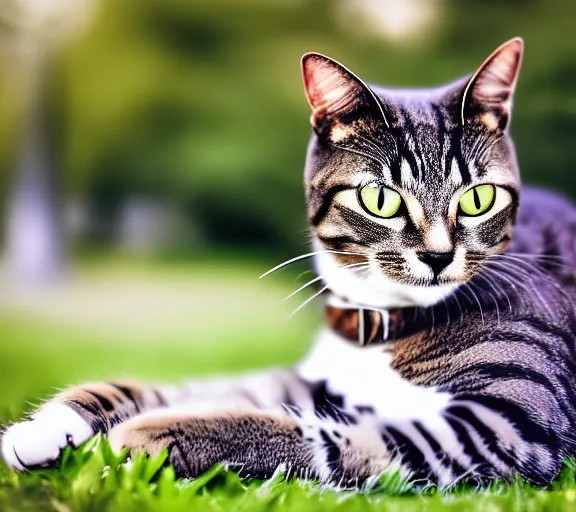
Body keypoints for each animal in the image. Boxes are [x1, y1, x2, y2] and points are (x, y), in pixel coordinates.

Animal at [3, 39, 576, 488]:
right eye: (381, 199)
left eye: (478, 198)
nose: (438, 256)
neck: (378, 324)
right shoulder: (315, 382)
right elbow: (194, 388)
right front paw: (45, 425)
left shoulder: (505, 423)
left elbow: (336, 436)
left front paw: (156, 432)